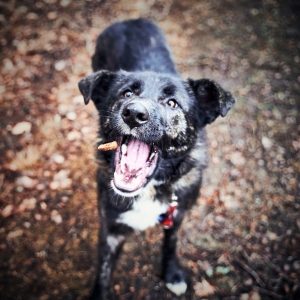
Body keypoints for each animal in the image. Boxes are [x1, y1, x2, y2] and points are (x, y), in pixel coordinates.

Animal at [78, 19, 234, 300]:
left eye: (172, 103)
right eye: (126, 94)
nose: (134, 113)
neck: (149, 189)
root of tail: (130, 20)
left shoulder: (178, 214)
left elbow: (170, 245)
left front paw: (172, 274)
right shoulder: (111, 229)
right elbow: (103, 274)